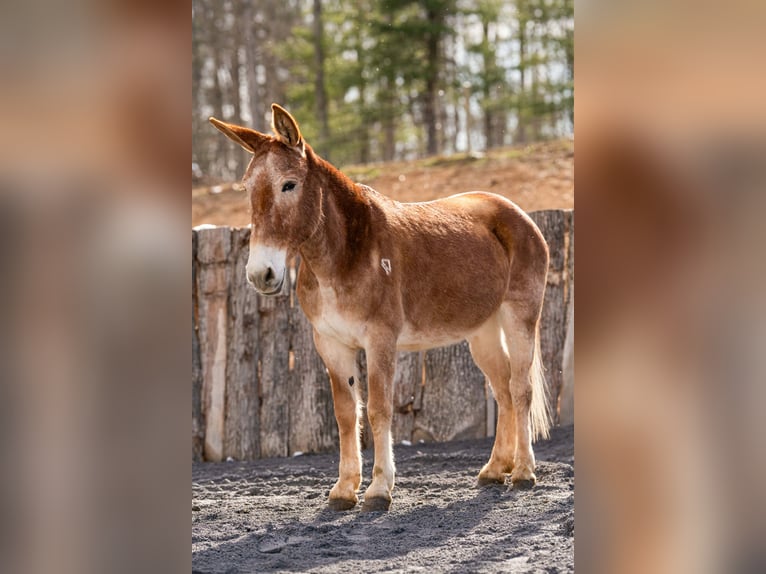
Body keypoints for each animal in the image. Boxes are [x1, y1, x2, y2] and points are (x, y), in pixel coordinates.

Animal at [210, 104, 551, 512]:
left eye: (288, 184)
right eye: (247, 187)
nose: (262, 273)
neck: (346, 255)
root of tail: (519, 215)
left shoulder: (380, 341)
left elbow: (378, 409)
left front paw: (378, 489)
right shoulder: (331, 344)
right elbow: (345, 414)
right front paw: (344, 489)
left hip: (519, 317)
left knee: (520, 389)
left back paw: (523, 472)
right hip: (482, 331)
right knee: (502, 391)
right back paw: (494, 470)